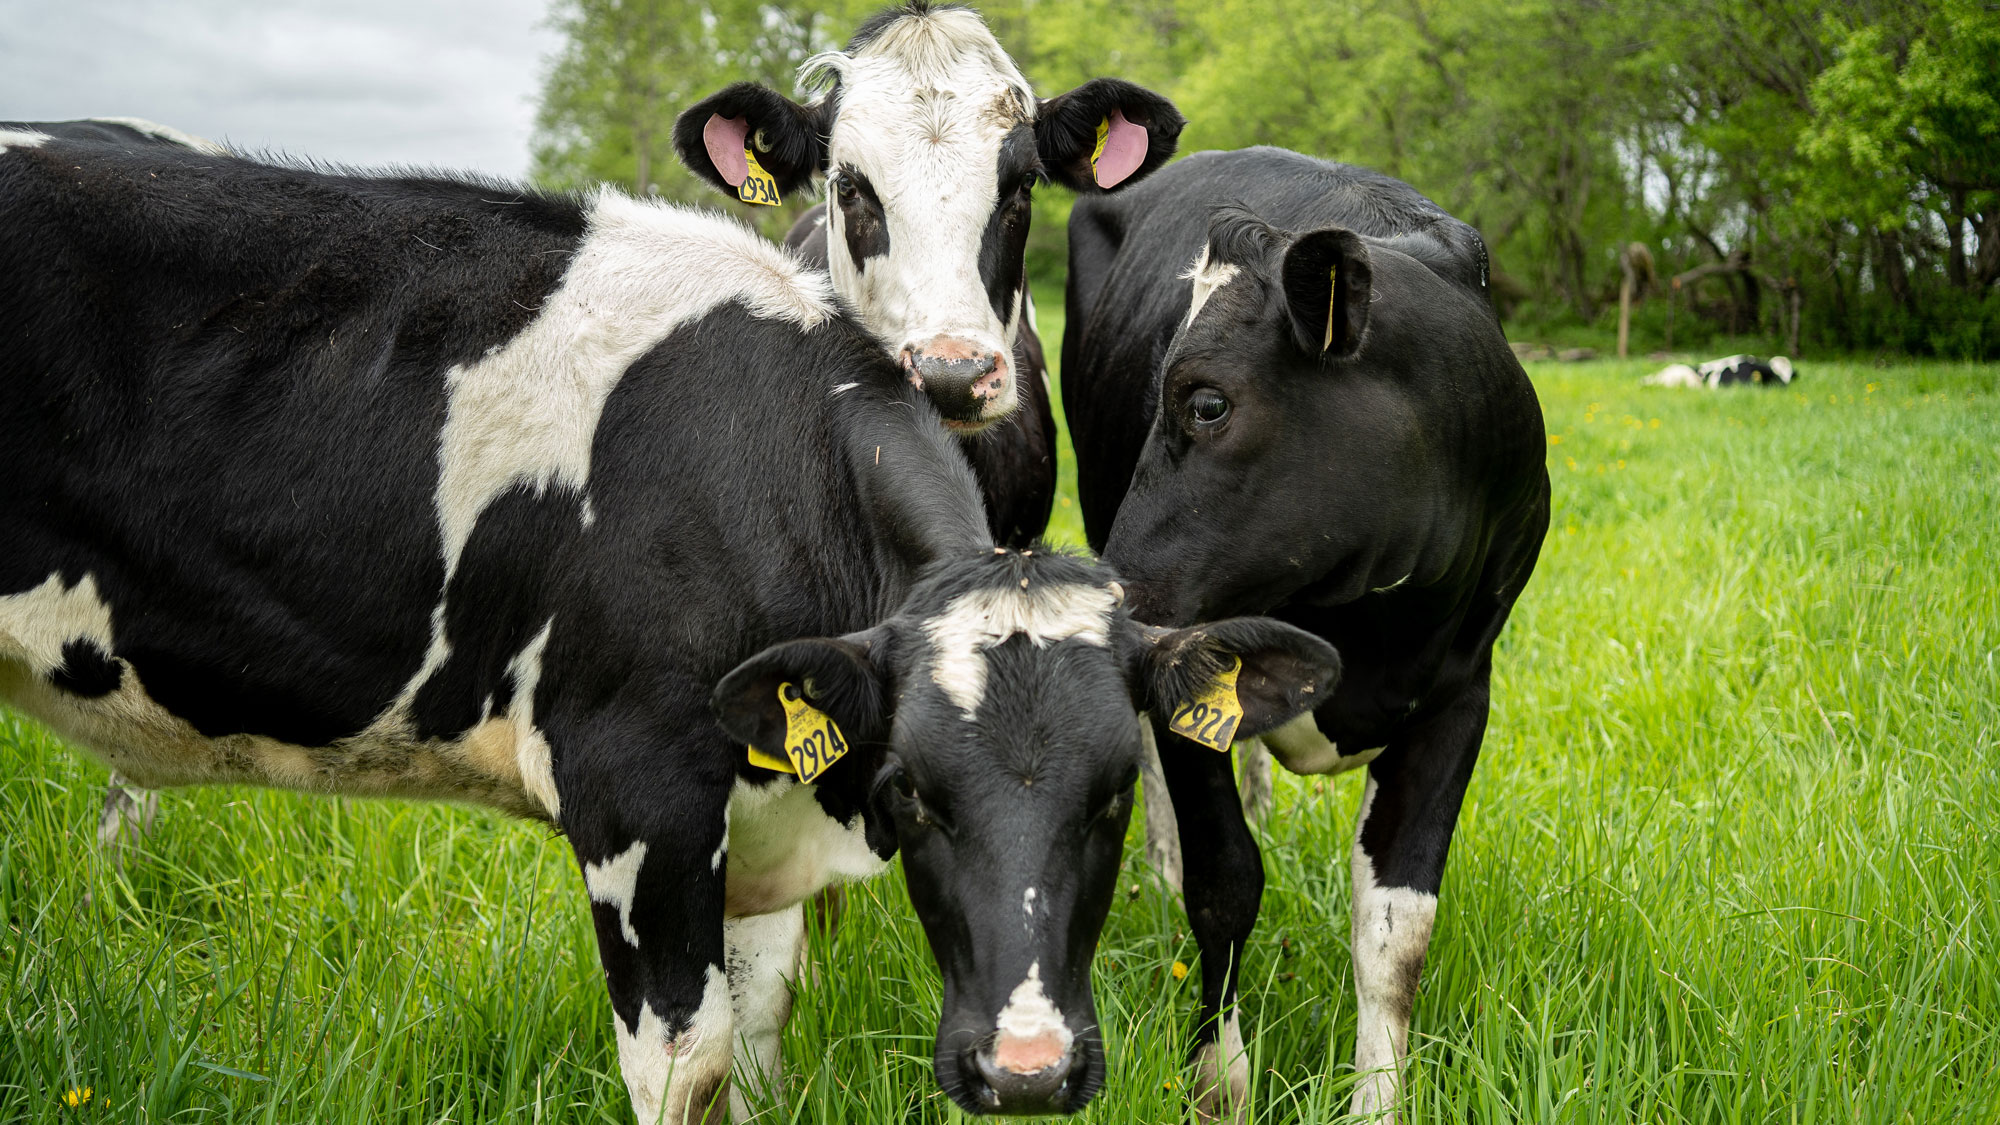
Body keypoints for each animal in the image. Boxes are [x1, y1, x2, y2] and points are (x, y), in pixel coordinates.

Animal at [3, 129, 1344, 1112]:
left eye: (1115, 792)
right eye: (914, 796)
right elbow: (686, 1070)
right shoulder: (634, 798)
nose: (1027, 1072)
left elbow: (755, 1039)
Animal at [1064, 147, 1544, 1112]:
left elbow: (1398, 925)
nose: (1117, 602)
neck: (1379, 619)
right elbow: (1223, 882)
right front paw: (1218, 1084)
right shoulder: (1188, 665)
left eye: (1208, 404)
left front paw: (1379, 1102)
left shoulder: (1460, 695)